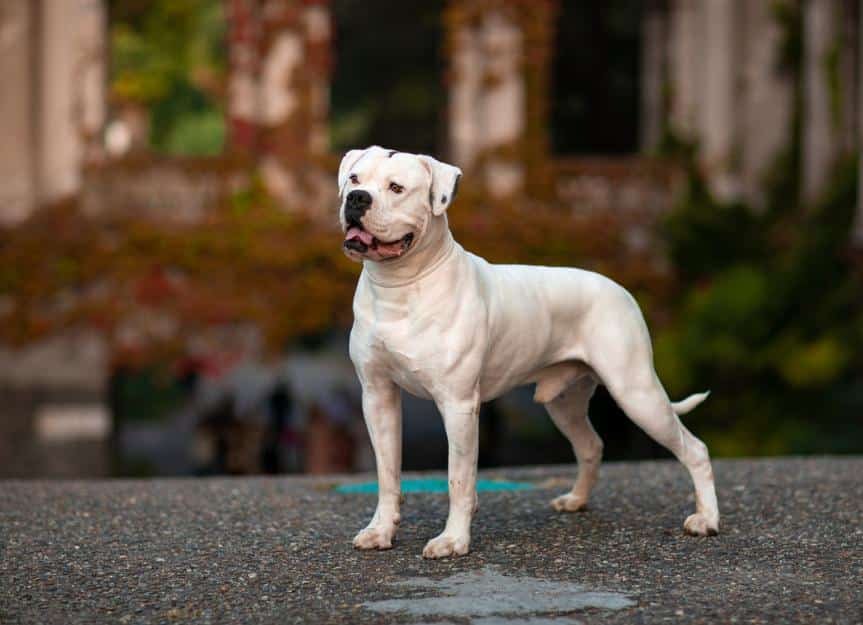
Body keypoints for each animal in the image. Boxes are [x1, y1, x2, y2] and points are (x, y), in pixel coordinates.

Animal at [338, 147, 724, 560]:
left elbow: (458, 478)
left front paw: (453, 540)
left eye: (396, 188)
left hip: (637, 393)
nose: (356, 199)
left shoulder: (458, 404)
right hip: (564, 402)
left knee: (695, 449)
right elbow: (387, 473)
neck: (400, 286)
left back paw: (706, 520)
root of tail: (620, 288)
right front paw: (380, 530)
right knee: (591, 445)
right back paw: (576, 500)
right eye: (355, 179)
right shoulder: (378, 397)